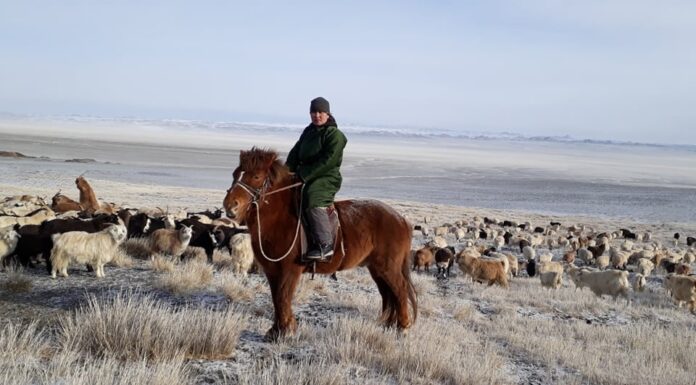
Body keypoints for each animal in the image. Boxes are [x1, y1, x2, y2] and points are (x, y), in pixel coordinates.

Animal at [224, 147, 418, 340]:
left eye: (256, 176)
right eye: (235, 174)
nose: (230, 206)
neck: (280, 219)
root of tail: (402, 220)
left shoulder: (289, 270)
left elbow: (283, 297)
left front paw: (285, 331)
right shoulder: (272, 270)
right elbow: (276, 298)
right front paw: (277, 330)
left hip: (388, 267)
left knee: (400, 289)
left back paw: (402, 327)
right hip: (376, 268)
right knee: (388, 293)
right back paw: (389, 325)